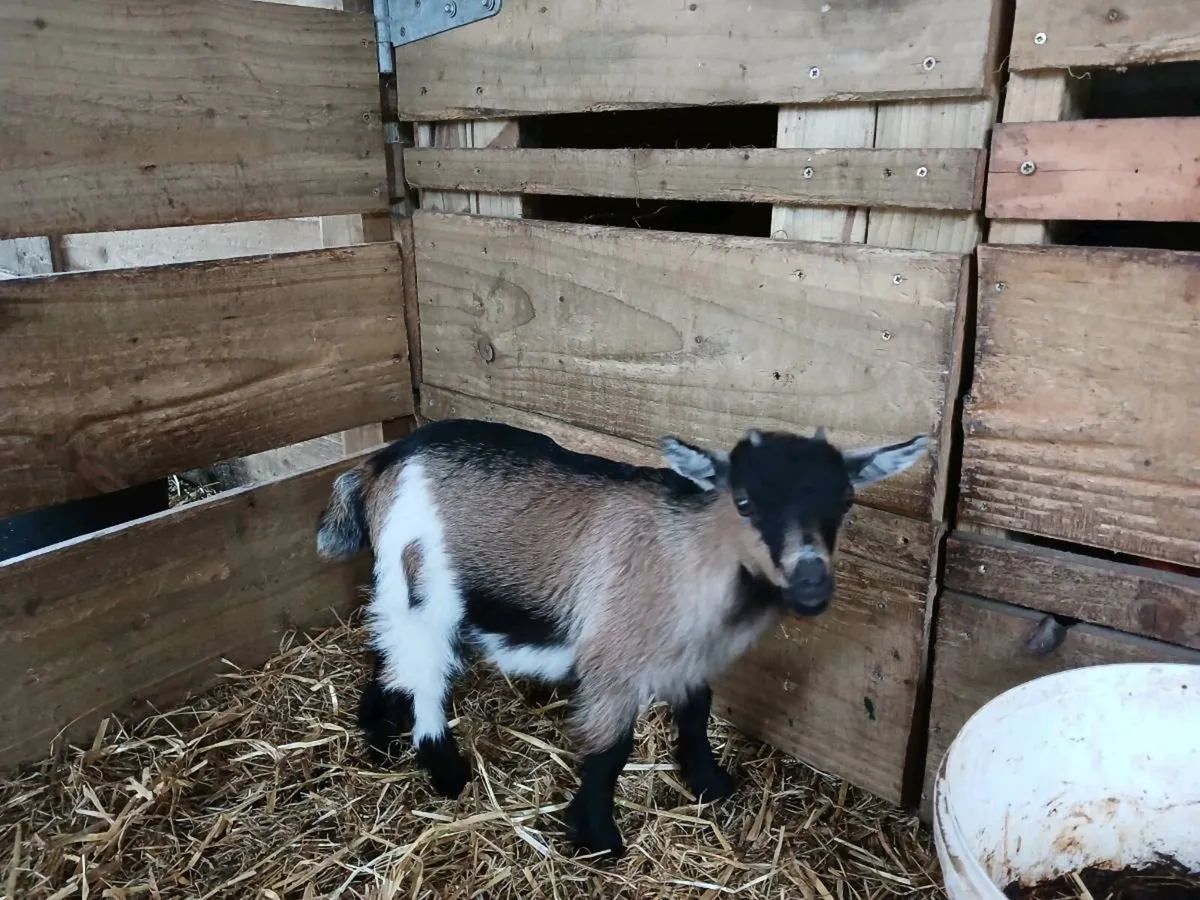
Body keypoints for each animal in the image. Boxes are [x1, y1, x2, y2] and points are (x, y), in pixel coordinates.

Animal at [316, 417, 928, 857]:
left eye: (844, 502)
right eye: (745, 501)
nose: (811, 583)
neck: (690, 556)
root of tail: (377, 464)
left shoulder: (690, 658)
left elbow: (696, 714)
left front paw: (709, 782)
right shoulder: (612, 661)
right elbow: (611, 752)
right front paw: (597, 838)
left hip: (405, 591)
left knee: (389, 656)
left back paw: (378, 736)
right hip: (425, 587)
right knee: (422, 672)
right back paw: (444, 769)